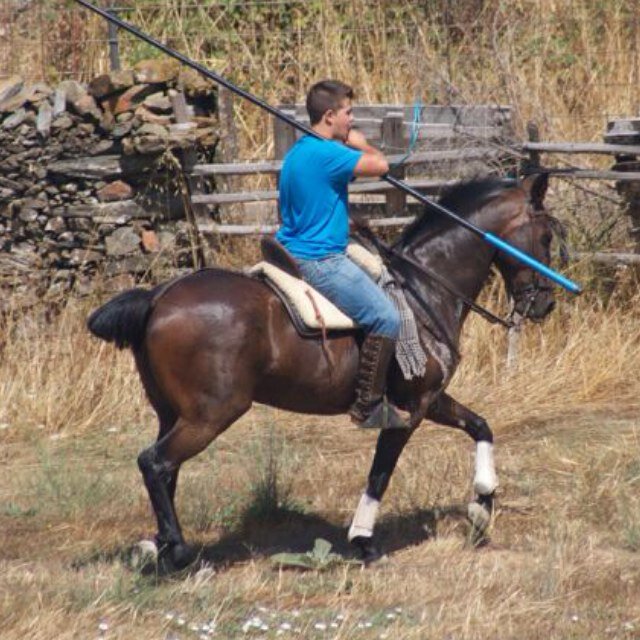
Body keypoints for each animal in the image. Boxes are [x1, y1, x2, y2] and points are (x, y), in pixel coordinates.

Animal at [87, 172, 556, 572]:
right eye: (547, 235)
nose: (545, 304)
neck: (424, 287)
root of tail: (157, 297)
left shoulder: (433, 399)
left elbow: (480, 426)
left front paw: (482, 504)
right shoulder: (410, 408)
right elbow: (380, 475)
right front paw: (365, 543)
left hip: (173, 413)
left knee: (166, 469)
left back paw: (161, 547)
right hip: (211, 413)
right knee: (154, 462)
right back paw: (178, 550)